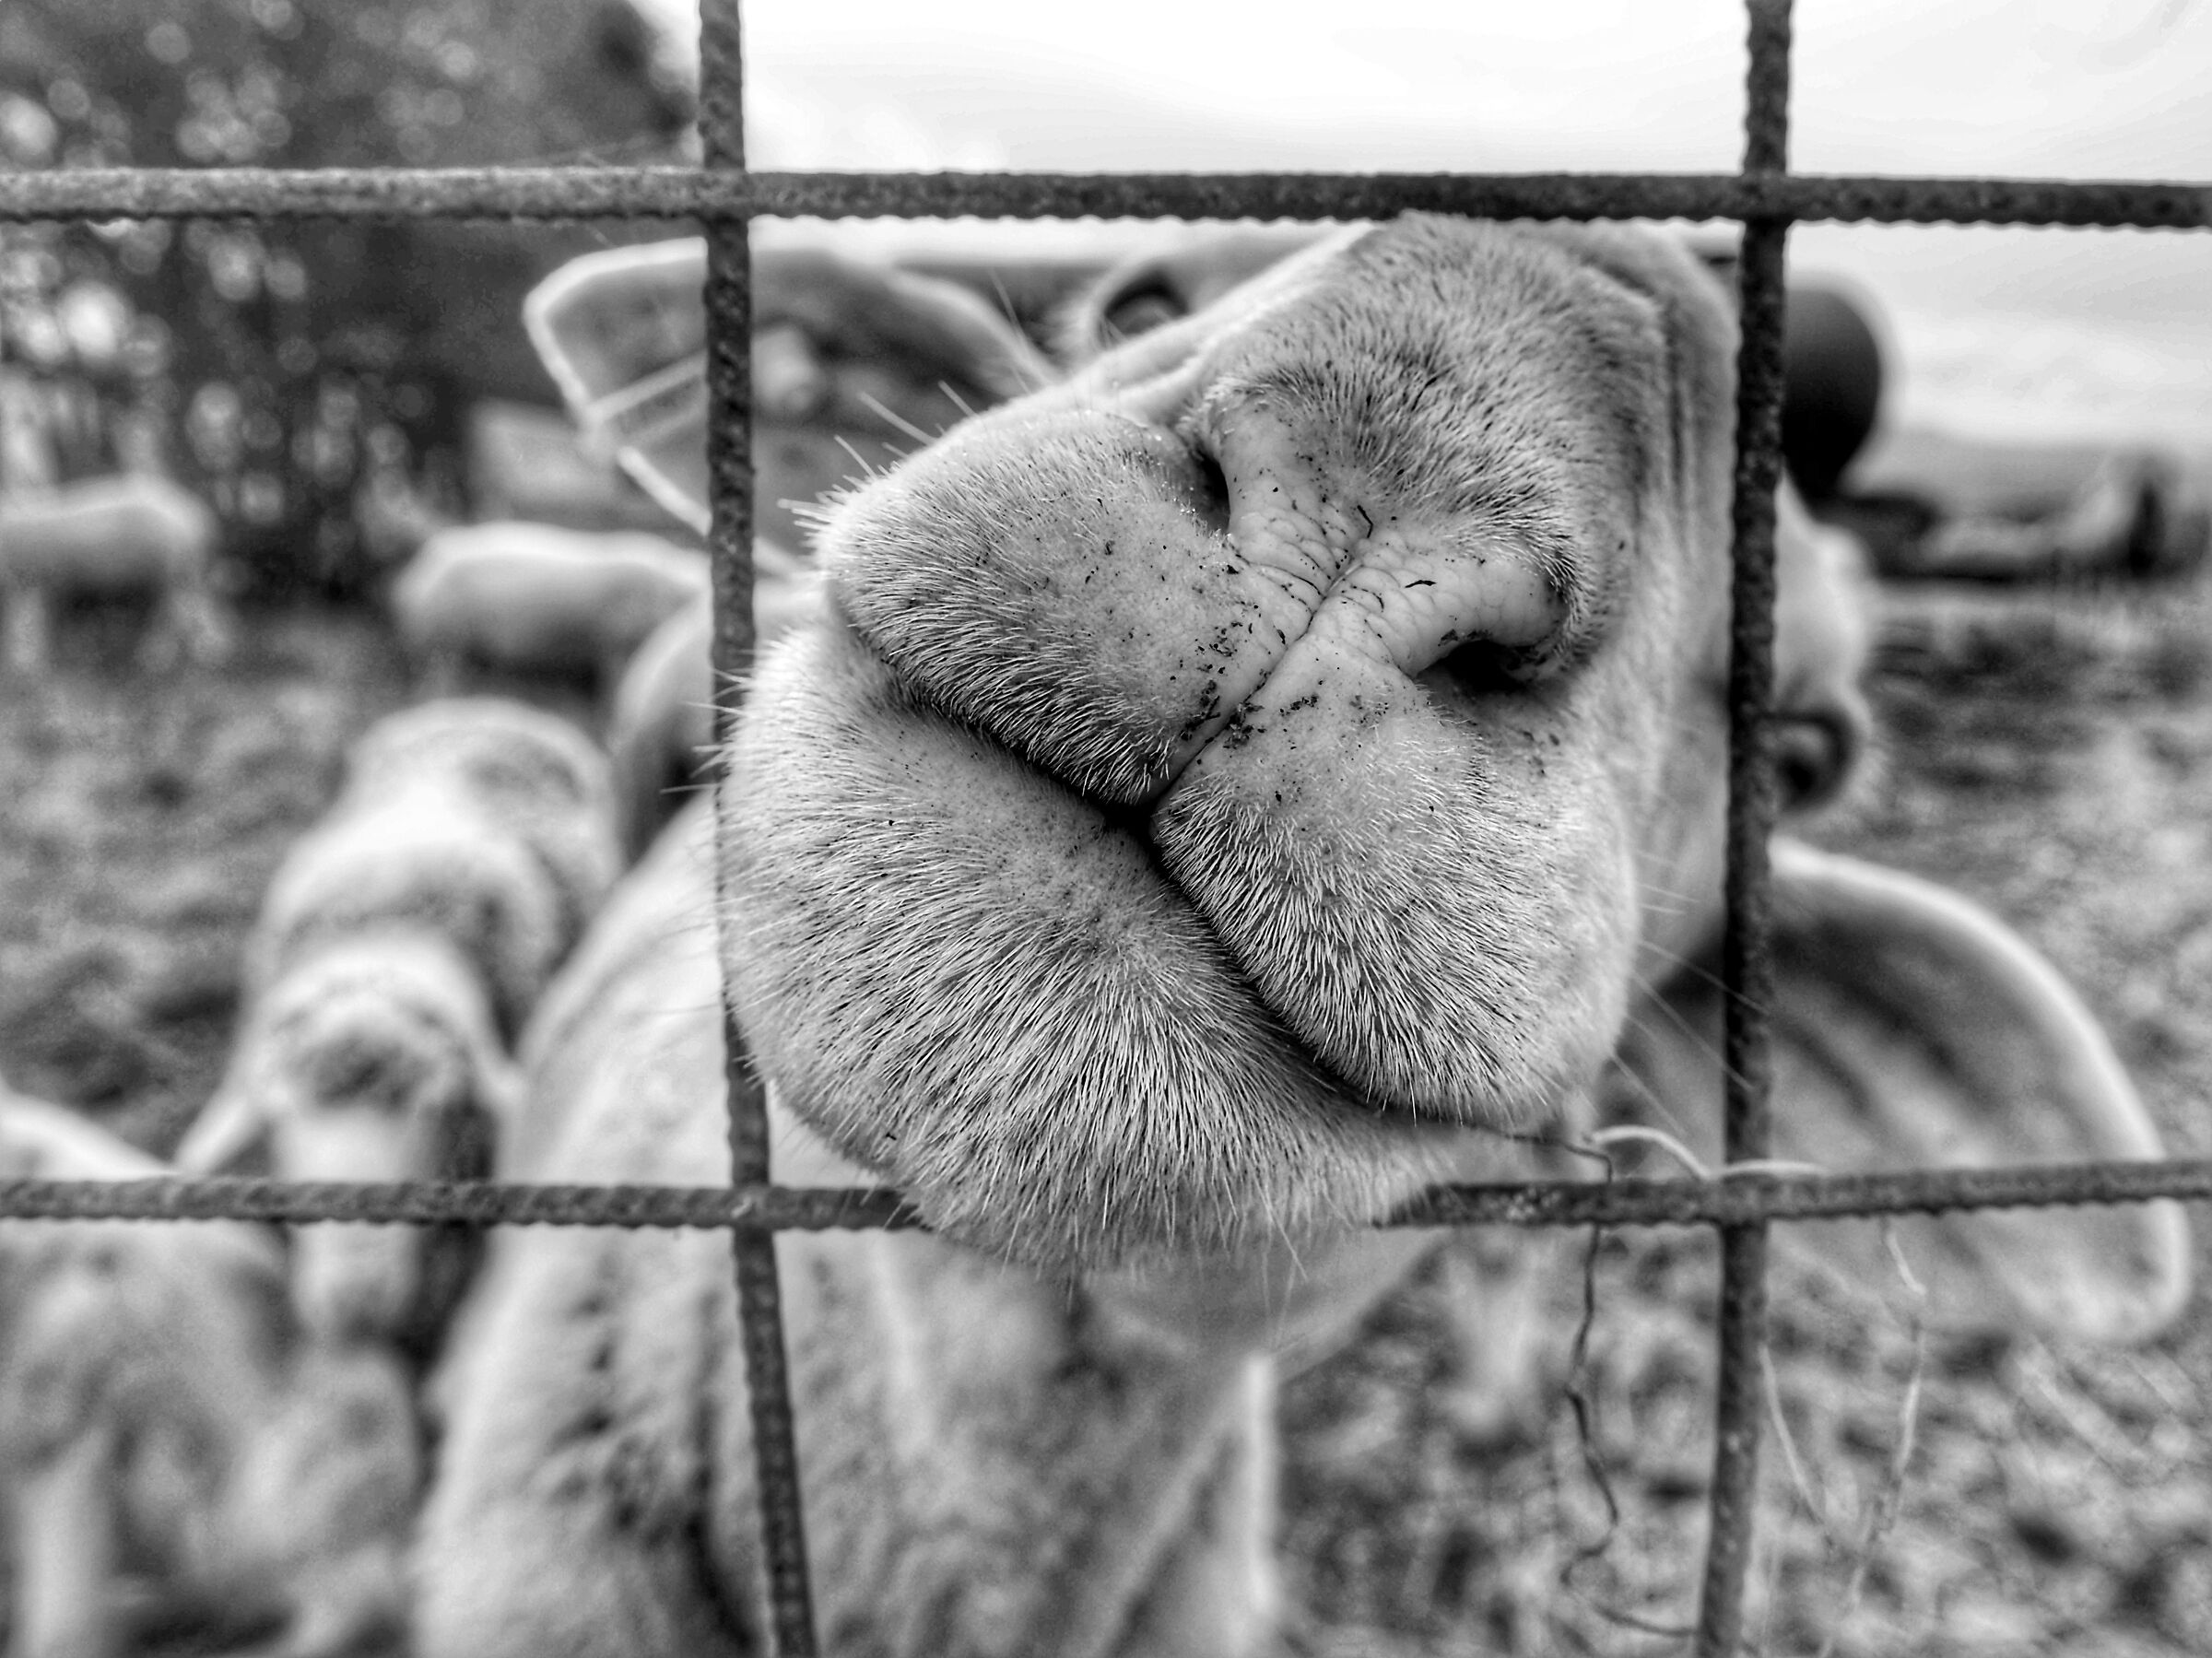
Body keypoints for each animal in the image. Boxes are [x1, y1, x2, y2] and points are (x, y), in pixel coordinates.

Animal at [0, 473, 233, 675]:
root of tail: (197, 518)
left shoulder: (31, 580)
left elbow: (27, 626)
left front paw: (26, 665)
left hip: (172, 569)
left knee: (181, 614)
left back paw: (165, 659)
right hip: (177, 574)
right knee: (191, 611)